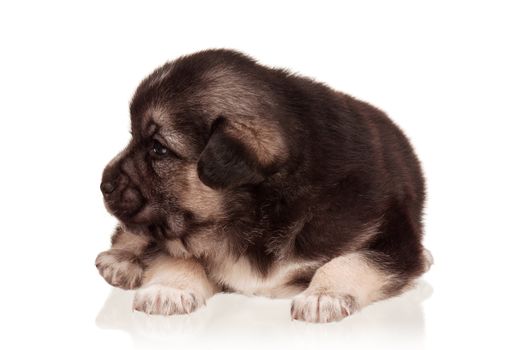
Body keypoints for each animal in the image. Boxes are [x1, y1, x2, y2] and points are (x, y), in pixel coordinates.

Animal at [95, 49, 434, 322]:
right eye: (133, 138)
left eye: (158, 149)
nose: (103, 184)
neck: (258, 212)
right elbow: (176, 256)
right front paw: (168, 289)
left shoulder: (391, 238)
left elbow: (353, 260)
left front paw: (323, 295)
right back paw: (120, 261)